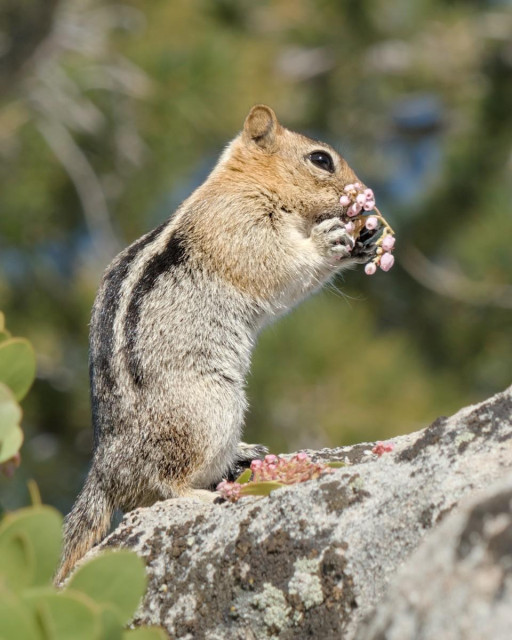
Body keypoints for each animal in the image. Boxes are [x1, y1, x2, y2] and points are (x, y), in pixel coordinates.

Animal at [55, 105, 374, 583]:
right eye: (321, 160)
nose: (368, 197)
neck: (246, 183)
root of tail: (107, 470)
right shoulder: (240, 227)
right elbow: (282, 266)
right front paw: (330, 240)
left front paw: (363, 242)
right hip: (210, 408)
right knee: (163, 486)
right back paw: (210, 495)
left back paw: (243, 453)